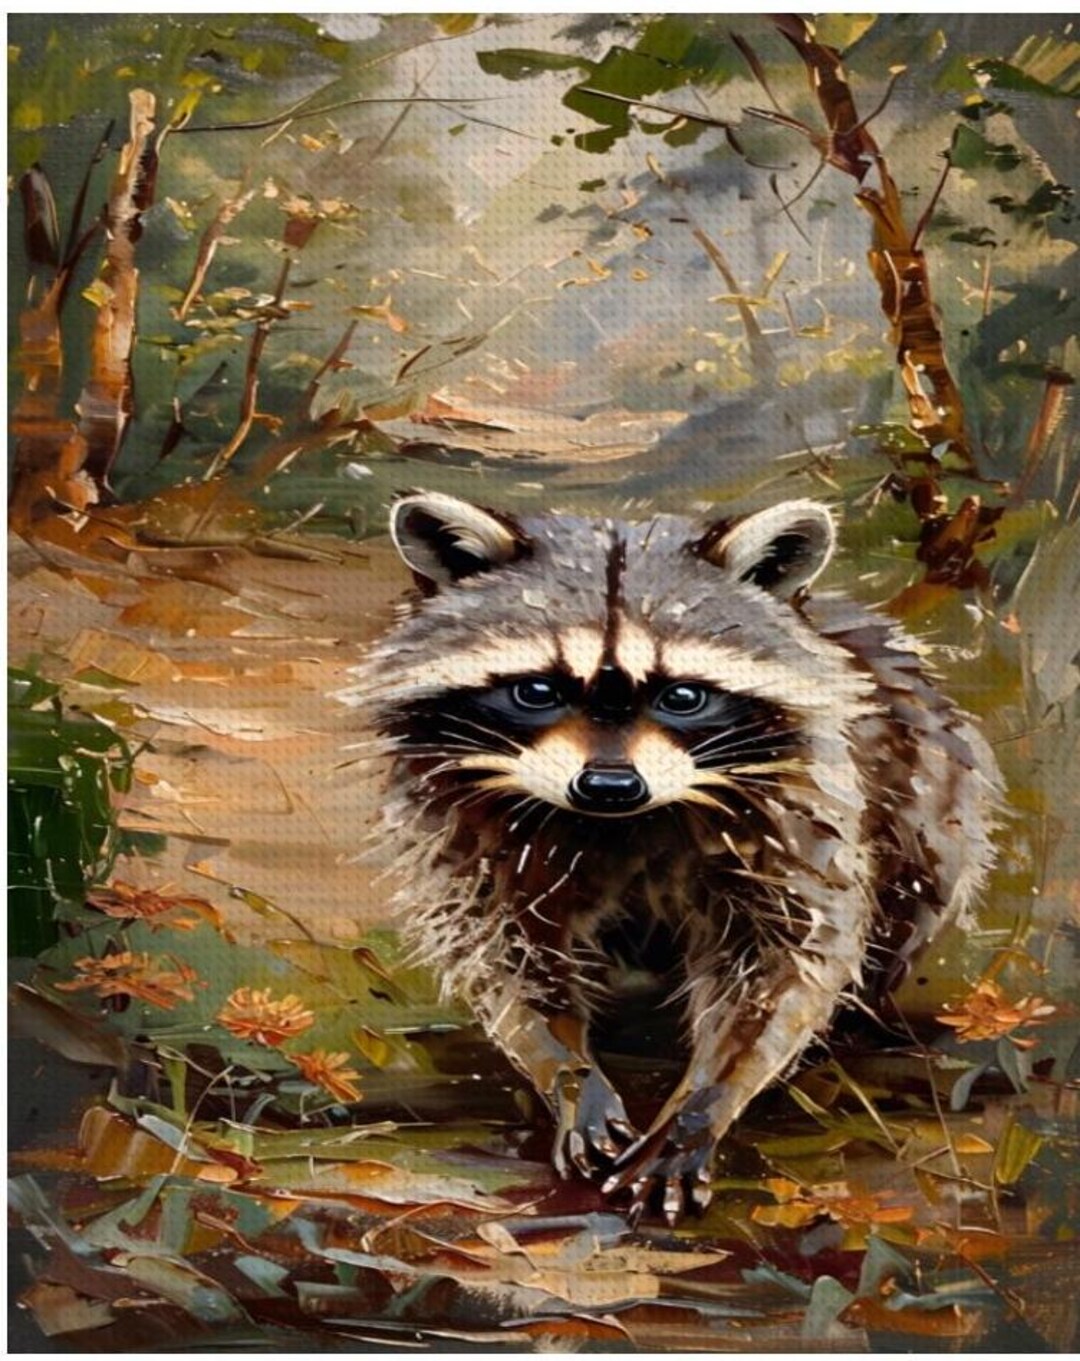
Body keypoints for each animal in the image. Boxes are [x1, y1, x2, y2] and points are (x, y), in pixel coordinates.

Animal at [351, 490, 1000, 1224]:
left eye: (683, 695)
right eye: (537, 691)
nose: (609, 785)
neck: (618, 823)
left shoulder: (801, 808)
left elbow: (784, 963)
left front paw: (701, 1103)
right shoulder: (467, 821)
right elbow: (509, 951)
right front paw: (567, 1068)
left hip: (934, 789)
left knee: (912, 885)